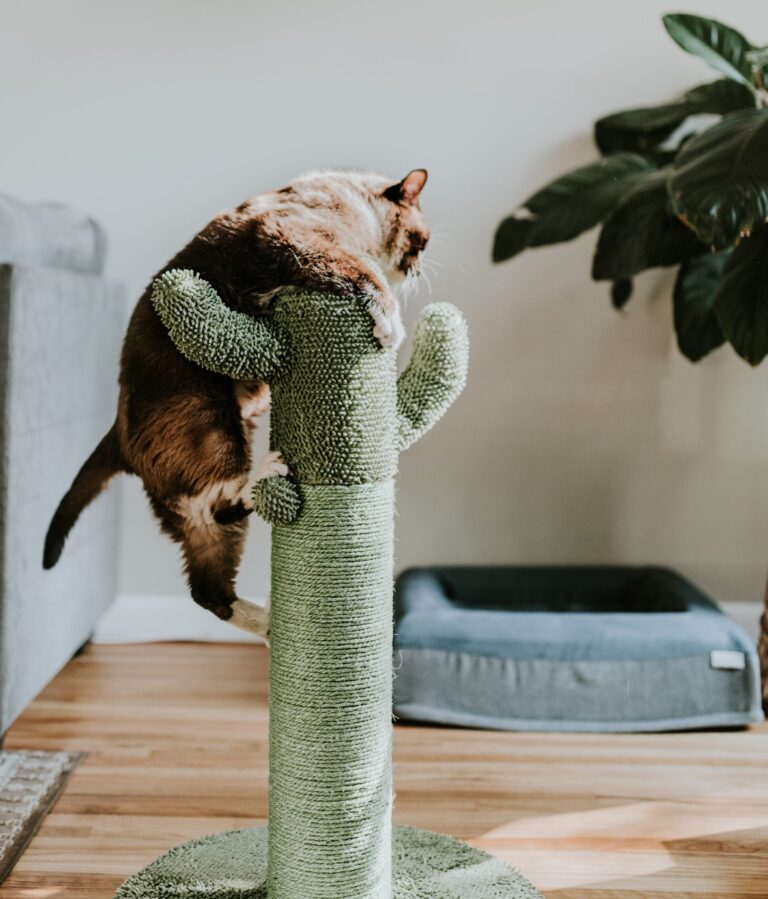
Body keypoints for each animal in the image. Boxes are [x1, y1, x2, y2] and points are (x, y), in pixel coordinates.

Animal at [43, 167, 432, 632]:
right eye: (421, 241)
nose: (417, 270)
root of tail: (116, 434)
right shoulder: (299, 238)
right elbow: (363, 277)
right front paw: (391, 326)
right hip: (212, 423)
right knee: (221, 503)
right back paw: (269, 474)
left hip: (212, 482)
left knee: (207, 584)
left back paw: (266, 624)